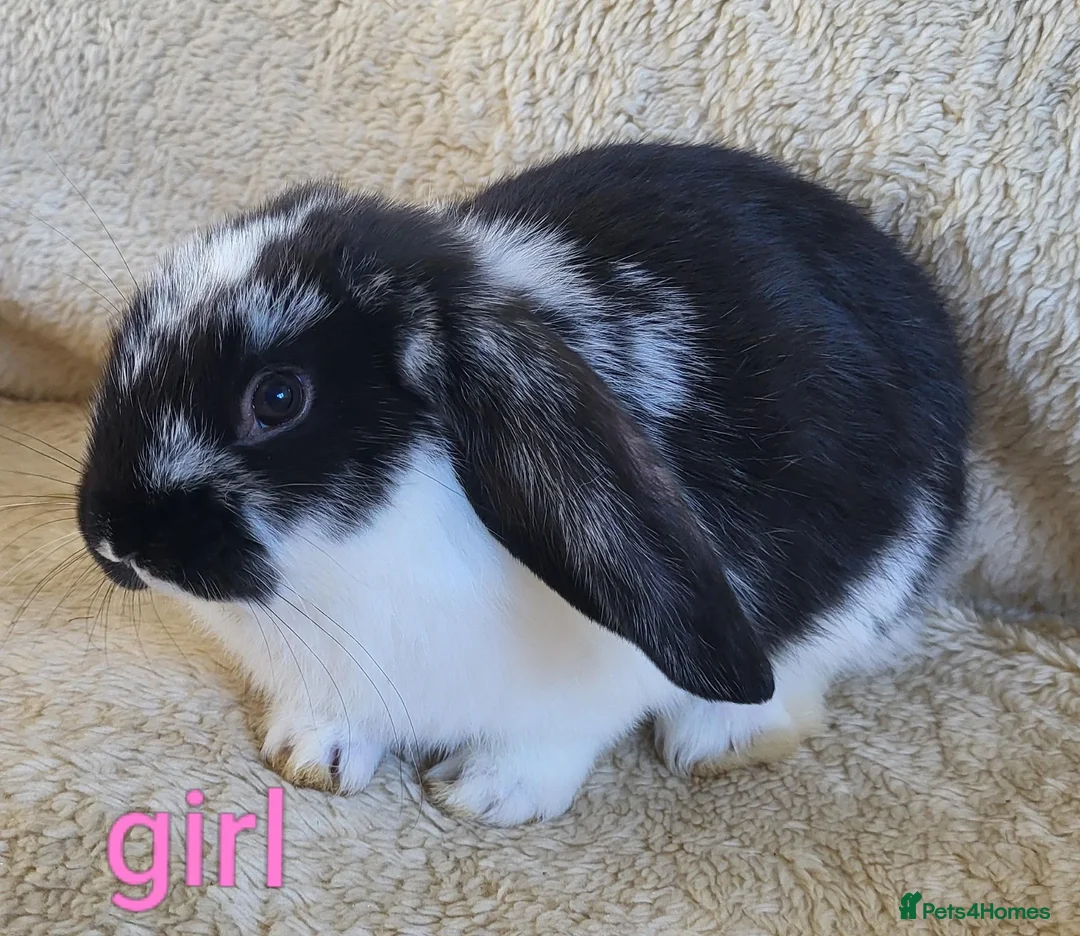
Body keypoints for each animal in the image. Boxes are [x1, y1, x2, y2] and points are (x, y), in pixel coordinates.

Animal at [76, 141, 969, 826]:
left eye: (278, 398)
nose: (113, 537)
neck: (357, 556)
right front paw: (310, 755)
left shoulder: (595, 686)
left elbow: (550, 740)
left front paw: (485, 794)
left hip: (875, 584)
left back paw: (717, 739)